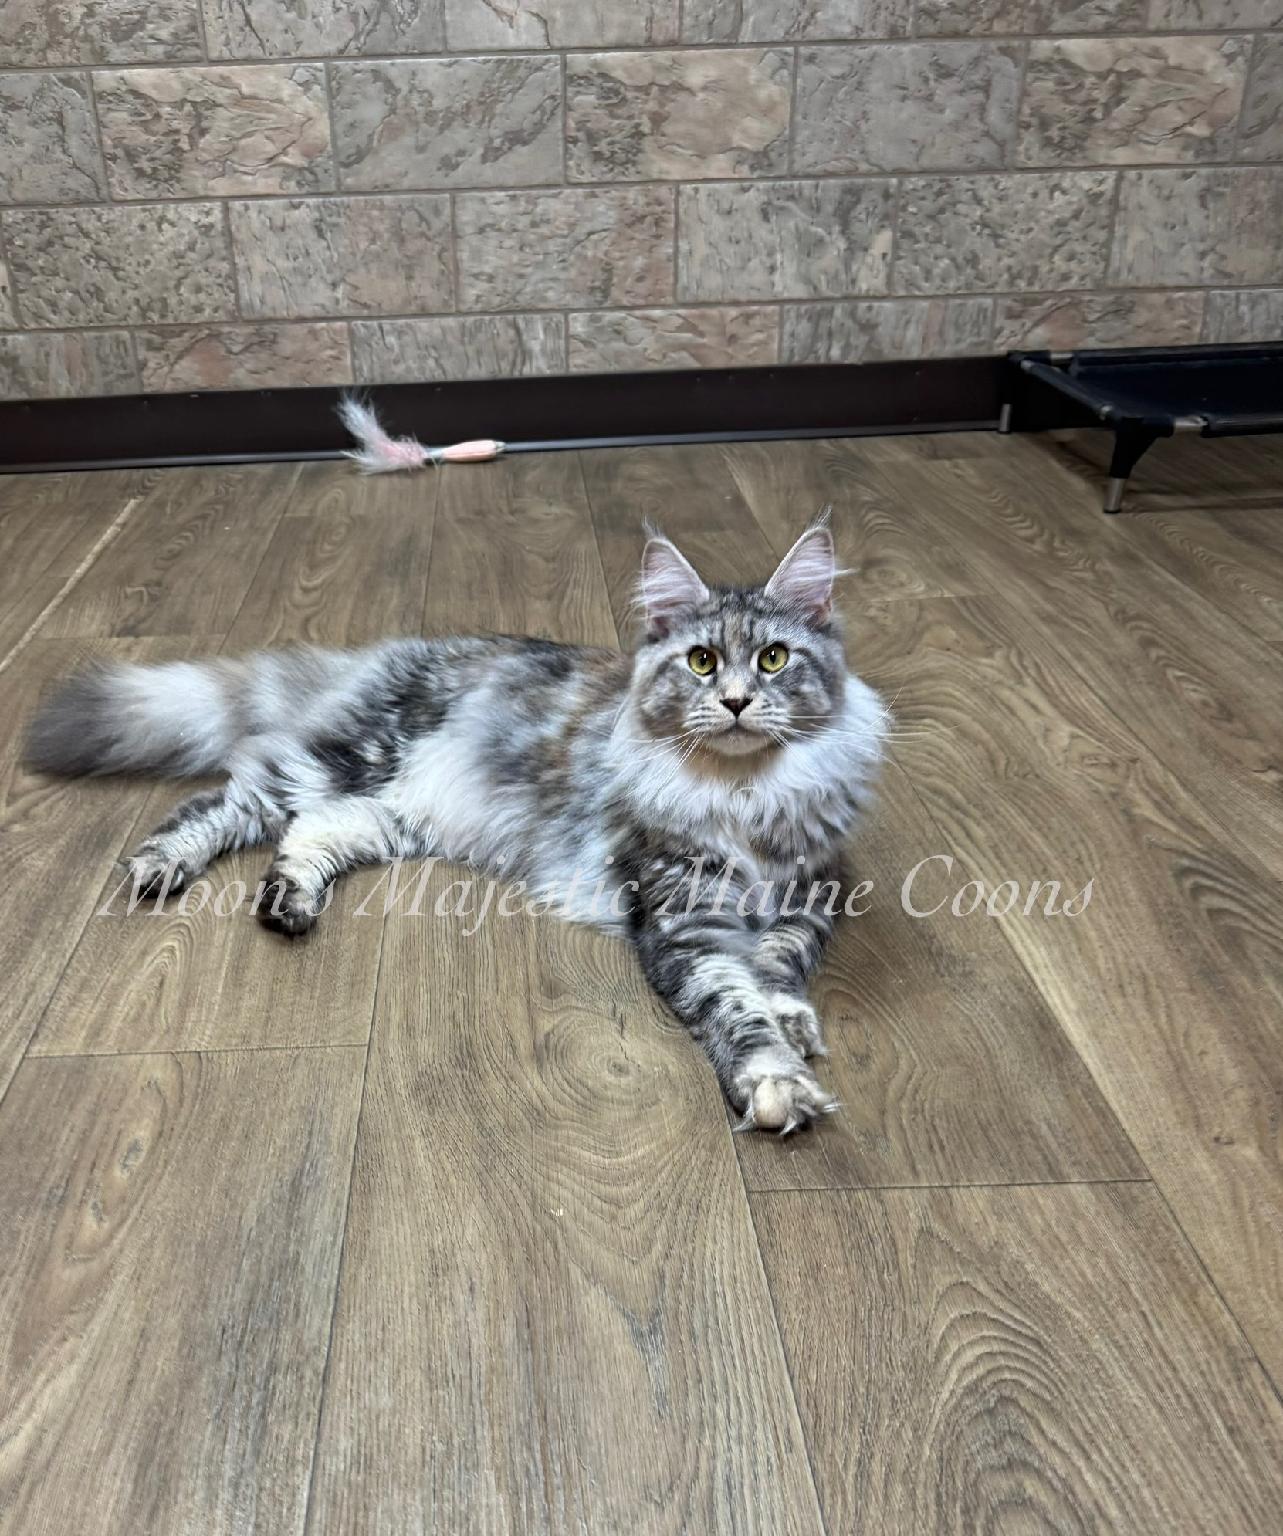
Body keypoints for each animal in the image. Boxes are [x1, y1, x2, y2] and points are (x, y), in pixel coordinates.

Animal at [26, 516, 886, 1133]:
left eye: (773, 659)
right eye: (702, 662)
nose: (737, 702)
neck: (745, 796)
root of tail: (390, 651)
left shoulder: (814, 894)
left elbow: (778, 962)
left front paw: (791, 1017)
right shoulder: (682, 923)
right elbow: (734, 1001)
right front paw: (774, 1082)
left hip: (396, 812)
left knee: (311, 835)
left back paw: (288, 901)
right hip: (348, 760)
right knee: (231, 802)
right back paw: (161, 864)